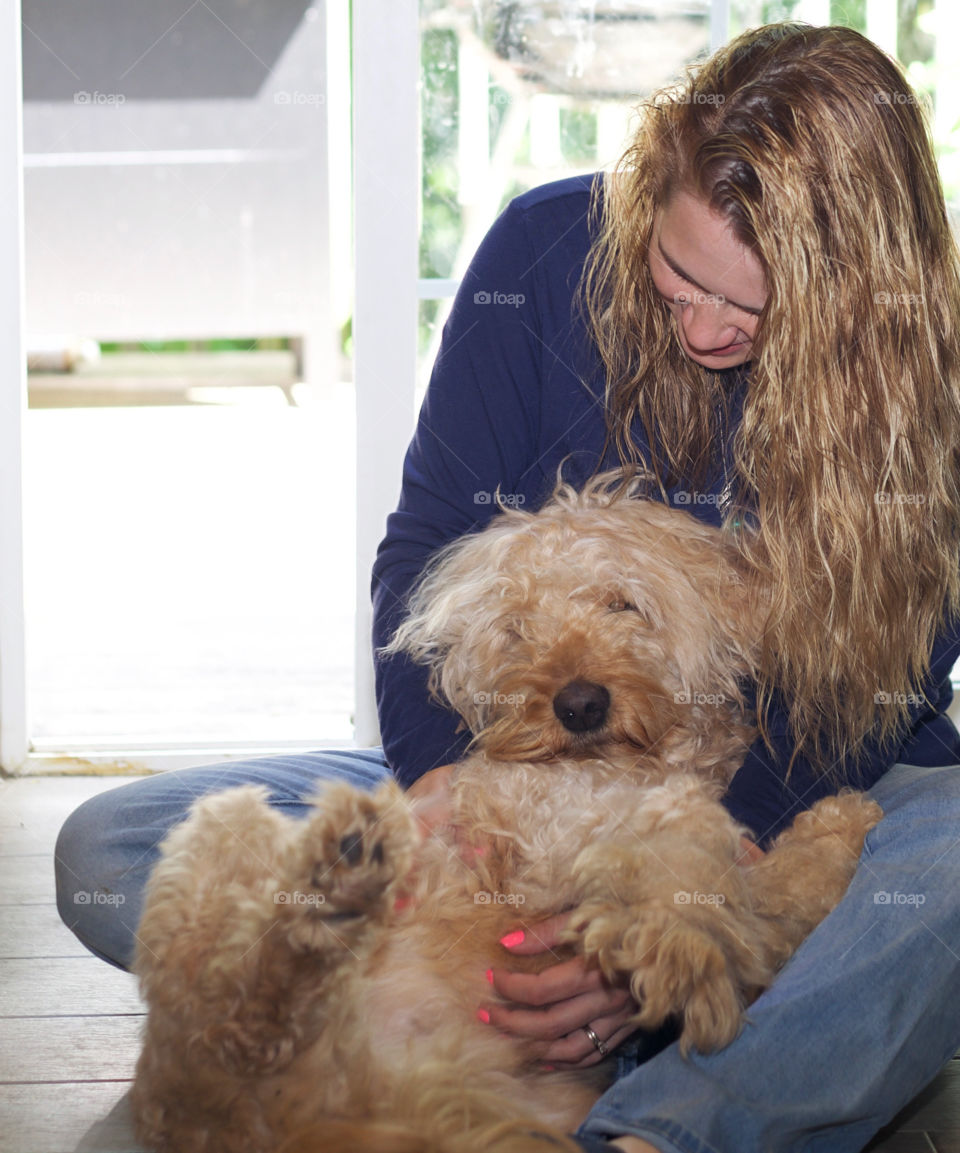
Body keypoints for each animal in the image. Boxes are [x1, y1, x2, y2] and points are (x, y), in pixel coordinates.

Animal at [131, 475, 880, 1153]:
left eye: (622, 603)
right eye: (518, 629)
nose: (579, 704)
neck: (618, 766)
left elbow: (767, 886)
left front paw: (839, 825)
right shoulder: (547, 829)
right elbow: (681, 837)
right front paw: (681, 941)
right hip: (224, 831)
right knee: (235, 1011)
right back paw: (339, 875)